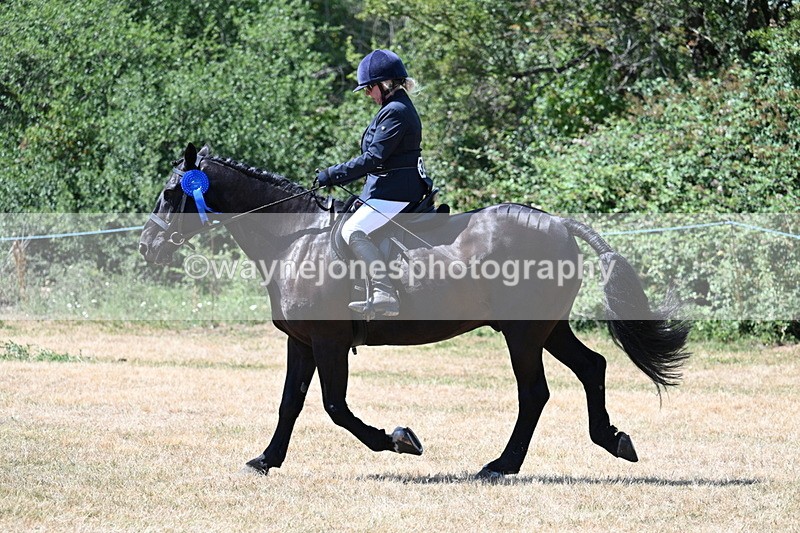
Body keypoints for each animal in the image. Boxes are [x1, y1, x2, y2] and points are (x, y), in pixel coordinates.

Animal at [139, 143, 690, 479]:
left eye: (170, 193)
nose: (148, 248)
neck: (296, 240)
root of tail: (556, 222)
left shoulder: (330, 341)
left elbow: (335, 408)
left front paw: (400, 440)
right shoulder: (303, 340)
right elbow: (290, 403)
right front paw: (265, 460)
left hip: (523, 334)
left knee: (534, 393)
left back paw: (500, 465)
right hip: (546, 328)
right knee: (592, 366)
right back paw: (613, 440)